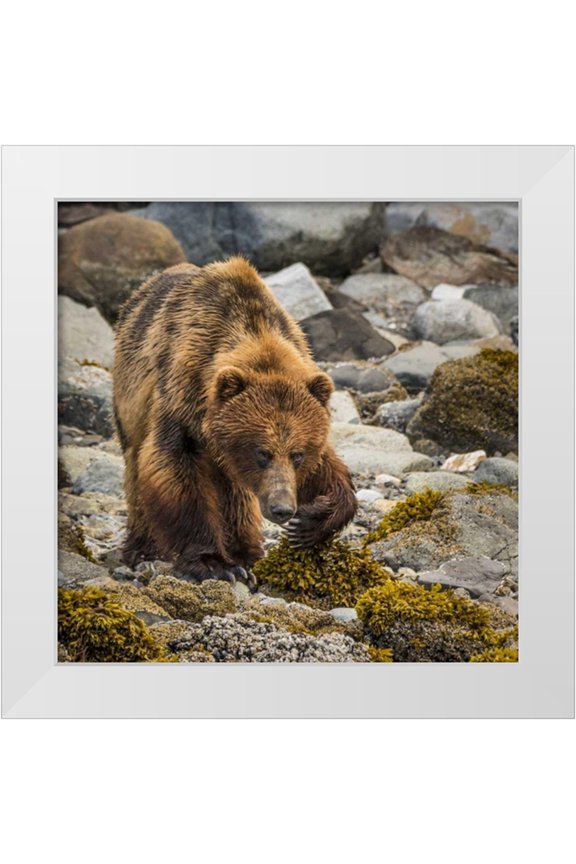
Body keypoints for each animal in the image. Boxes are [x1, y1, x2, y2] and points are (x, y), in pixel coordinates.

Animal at [112, 257, 357, 584]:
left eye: (297, 455)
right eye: (262, 453)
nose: (282, 509)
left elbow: (328, 470)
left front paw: (308, 524)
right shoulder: (181, 399)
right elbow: (175, 471)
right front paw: (213, 562)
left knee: (235, 492)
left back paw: (247, 552)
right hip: (130, 399)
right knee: (136, 467)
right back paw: (143, 549)